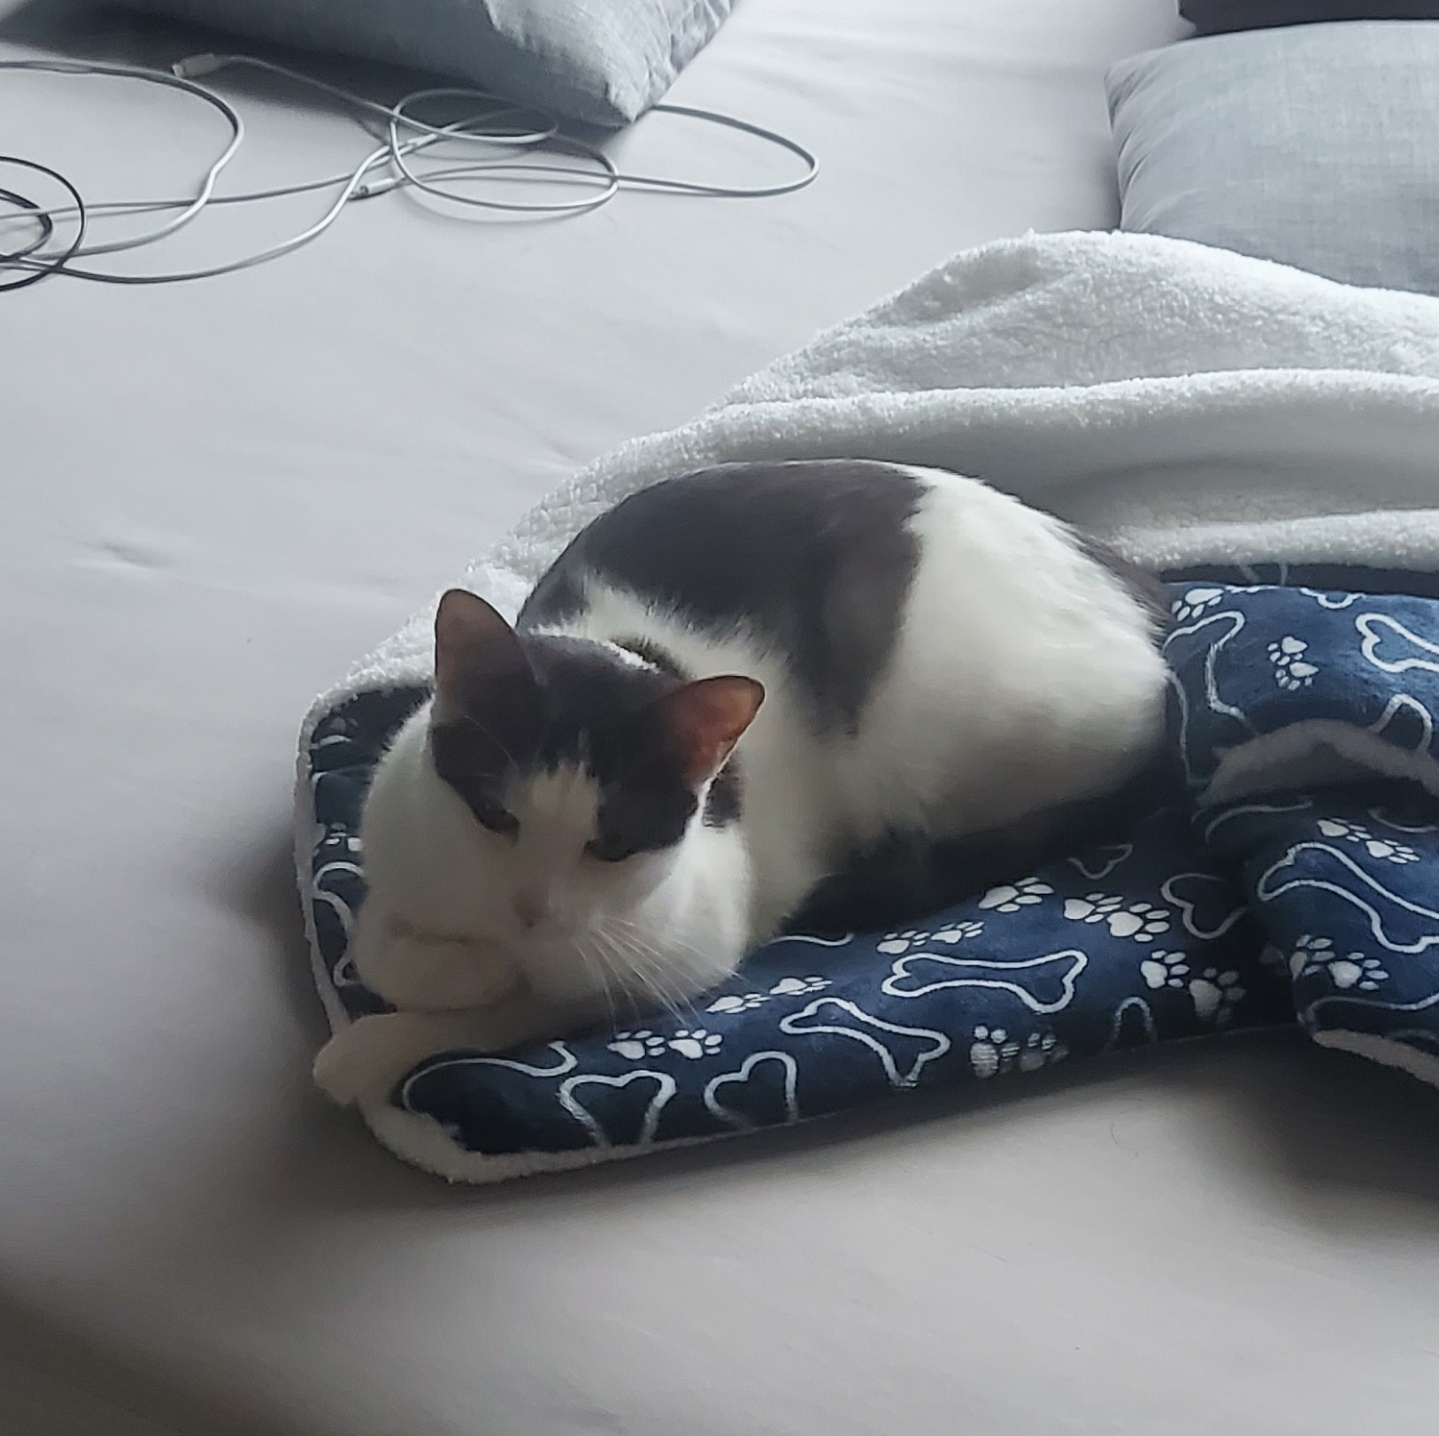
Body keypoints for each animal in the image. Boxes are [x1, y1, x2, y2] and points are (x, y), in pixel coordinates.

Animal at [313, 460, 1170, 1107]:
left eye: (611, 845)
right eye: (494, 816)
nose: (530, 912)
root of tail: (1144, 597)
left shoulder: (680, 954)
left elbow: (522, 1005)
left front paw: (380, 1043)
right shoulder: (393, 834)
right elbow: (374, 942)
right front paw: (453, 965)